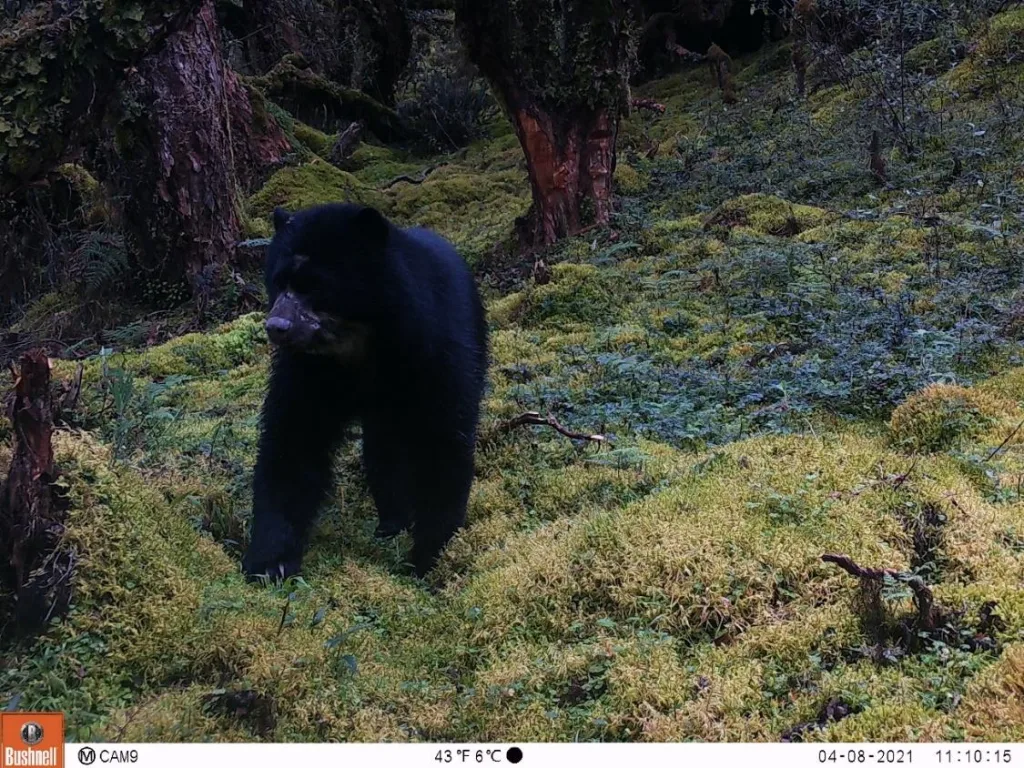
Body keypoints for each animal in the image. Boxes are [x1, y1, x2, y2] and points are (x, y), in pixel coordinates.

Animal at [241, 203, 488, 581]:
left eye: (315, 285)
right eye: (278, 281)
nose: (277, 327)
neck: (359, 345)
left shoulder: (433, 348)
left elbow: (443, 440)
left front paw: (429, 557)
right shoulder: (308, 372)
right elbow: (293, 440)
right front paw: (271, 562)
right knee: (382, 451)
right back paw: (391, 520)